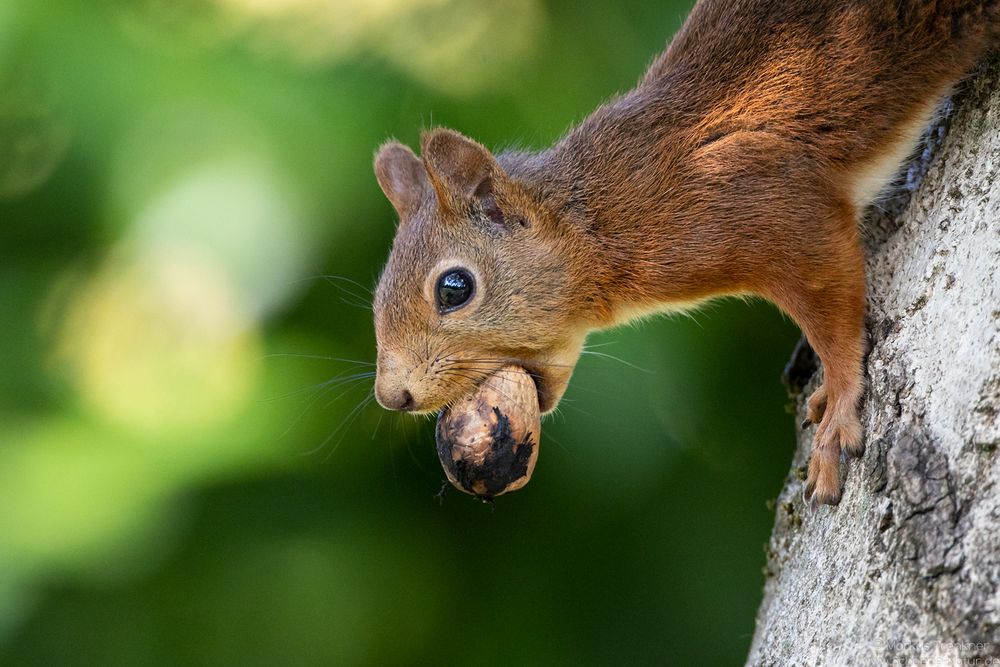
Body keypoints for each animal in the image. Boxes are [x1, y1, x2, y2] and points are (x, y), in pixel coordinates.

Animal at [370, 0, 1000, 500]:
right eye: (376, 299)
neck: (599, 221)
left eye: (454, 288)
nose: (391, 396)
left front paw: (839, 404)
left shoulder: (765, 199)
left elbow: (832, 303)